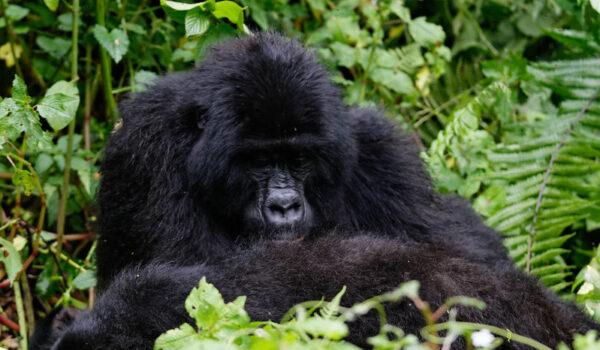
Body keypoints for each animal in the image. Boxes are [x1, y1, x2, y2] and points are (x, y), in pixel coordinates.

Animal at [31, 33, 600, 350]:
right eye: (258, 162)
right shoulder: (144, 151)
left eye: (300, 160)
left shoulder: (380, 153)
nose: (284, 205)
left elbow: (472, 265)